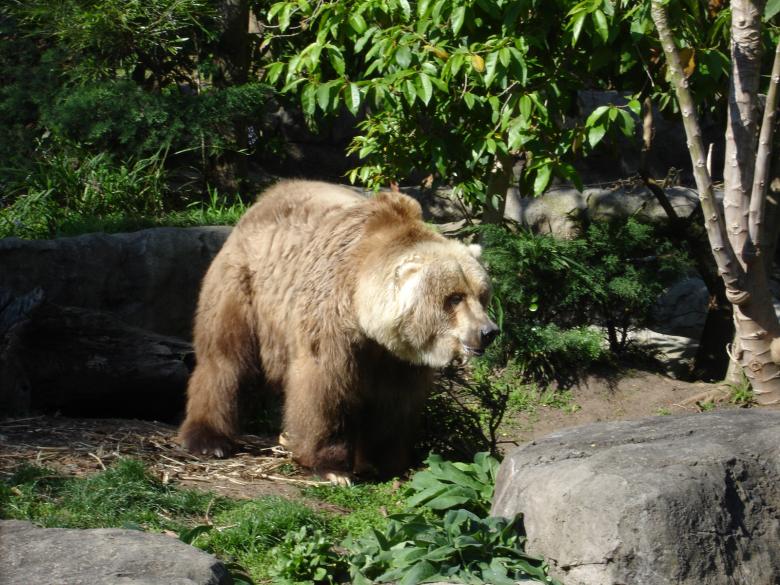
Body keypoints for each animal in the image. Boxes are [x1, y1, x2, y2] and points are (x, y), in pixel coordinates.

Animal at [178, 180, 498, 481]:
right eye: (454, 297)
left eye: (482, 294)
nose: (488, 331)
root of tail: (265, 198)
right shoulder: (333, 318)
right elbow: (326, 387)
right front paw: (332, 468)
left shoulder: (398, 356)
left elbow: (394, 403)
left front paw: (384, 462)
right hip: (245, 286)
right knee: (225, 359)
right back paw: (210, 440)